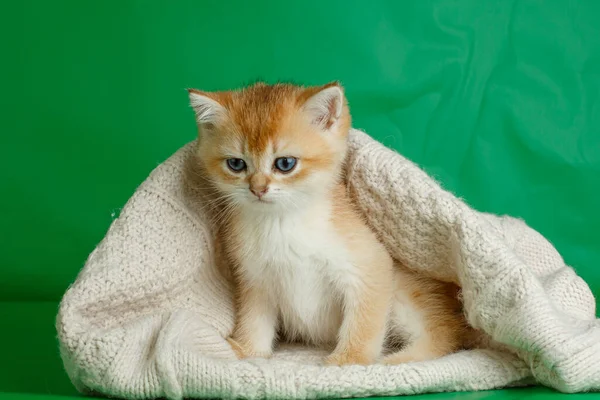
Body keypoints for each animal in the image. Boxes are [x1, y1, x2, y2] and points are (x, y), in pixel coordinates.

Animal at [188, 81, 474, 366]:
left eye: (285, 163)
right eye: (236, 164)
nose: (257, 189)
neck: (282, 222)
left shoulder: (371, 266)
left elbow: (364, 322)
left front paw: (349, 360)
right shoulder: (256, 280)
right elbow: (253, 321)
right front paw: (247, 351)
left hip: (407, 287)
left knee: (443, 332)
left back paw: (395, 360)